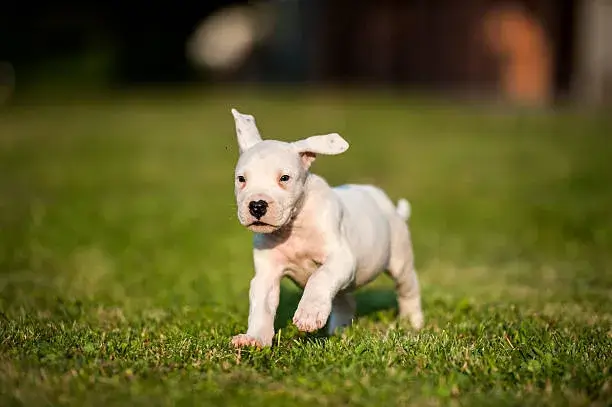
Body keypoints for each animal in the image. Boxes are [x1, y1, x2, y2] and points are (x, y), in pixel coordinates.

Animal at [227, 110, 424, 350]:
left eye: (284, 178)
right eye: (241, 179)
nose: (256, 205)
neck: (294, 226)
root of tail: (389, 206)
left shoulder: (341, 258)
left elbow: (319, 277)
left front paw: (308, 314)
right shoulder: (267, 274)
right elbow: (261, 306)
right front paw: (254, 339)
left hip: (399, 260)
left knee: (408, 288)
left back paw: (412, 322)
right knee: (345, 301)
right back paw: (339, 331)